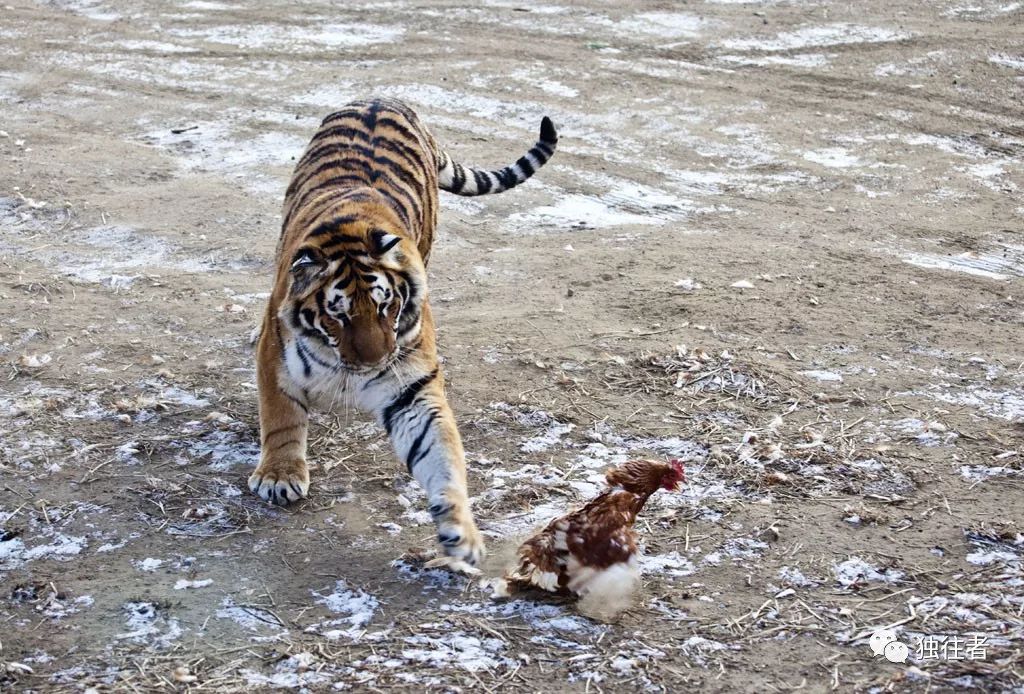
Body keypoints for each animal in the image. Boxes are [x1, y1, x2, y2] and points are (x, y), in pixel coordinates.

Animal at [249, 96, 561, 565]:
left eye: (386, 306)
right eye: (337, 316)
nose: (374, 362)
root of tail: (384, 98)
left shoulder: (410, 386)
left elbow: (439, 452)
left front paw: (460, 531)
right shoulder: (276, 357)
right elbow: (281, 417)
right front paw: (279, 477)